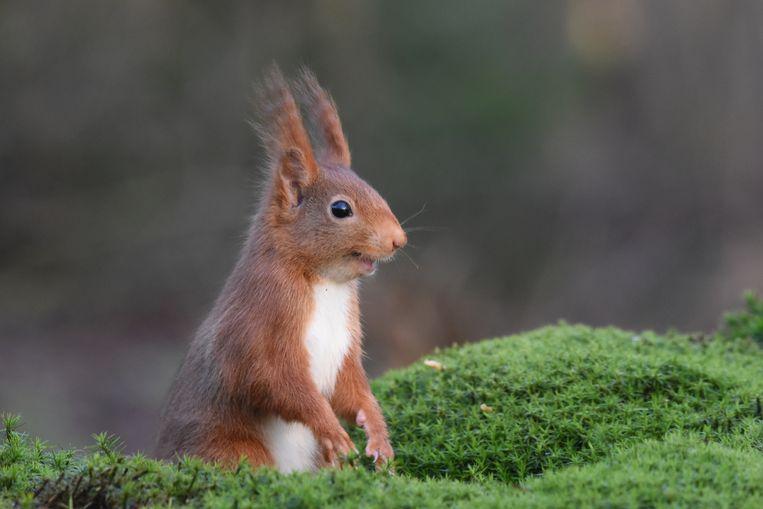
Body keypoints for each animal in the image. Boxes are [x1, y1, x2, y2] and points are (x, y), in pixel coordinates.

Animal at [154, 67, 406, 472]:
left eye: (374, 189)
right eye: (340, 209)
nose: (398, 240)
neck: (324, 283)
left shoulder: (344, 346)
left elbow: (353, 388)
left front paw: (378, 435)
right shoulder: (262, 319)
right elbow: (272, 379)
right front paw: (333, 430)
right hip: (233, 450)